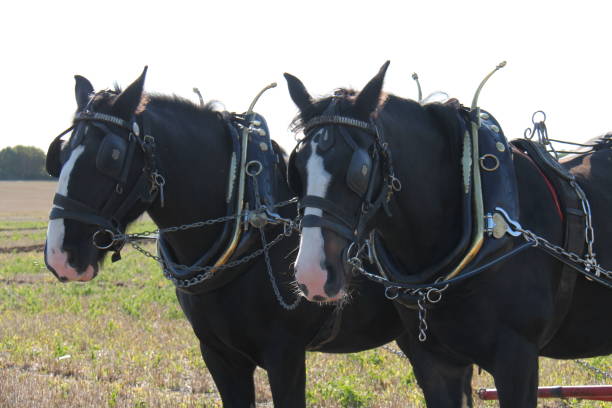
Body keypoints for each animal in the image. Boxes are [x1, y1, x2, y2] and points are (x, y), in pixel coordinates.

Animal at [43, 68, 414, 406]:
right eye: (60, 154)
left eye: (111, 155)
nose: (60, 256)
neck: (247, 216)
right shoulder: (219, 355)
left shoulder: (286, 355)